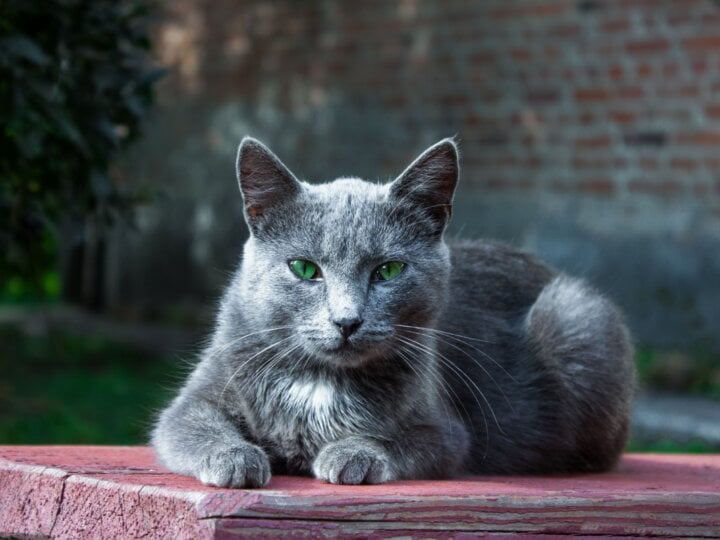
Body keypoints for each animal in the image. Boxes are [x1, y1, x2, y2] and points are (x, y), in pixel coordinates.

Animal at [152, 136, 636, 490]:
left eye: (388, 270)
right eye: (305, 268)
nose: (346, 320)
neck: (322, 381)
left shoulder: (445, 432)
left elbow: (398, 439)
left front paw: (352, 453)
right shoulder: (194, 400)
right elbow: (191, 425)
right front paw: (235, 459)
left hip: (576, 316)